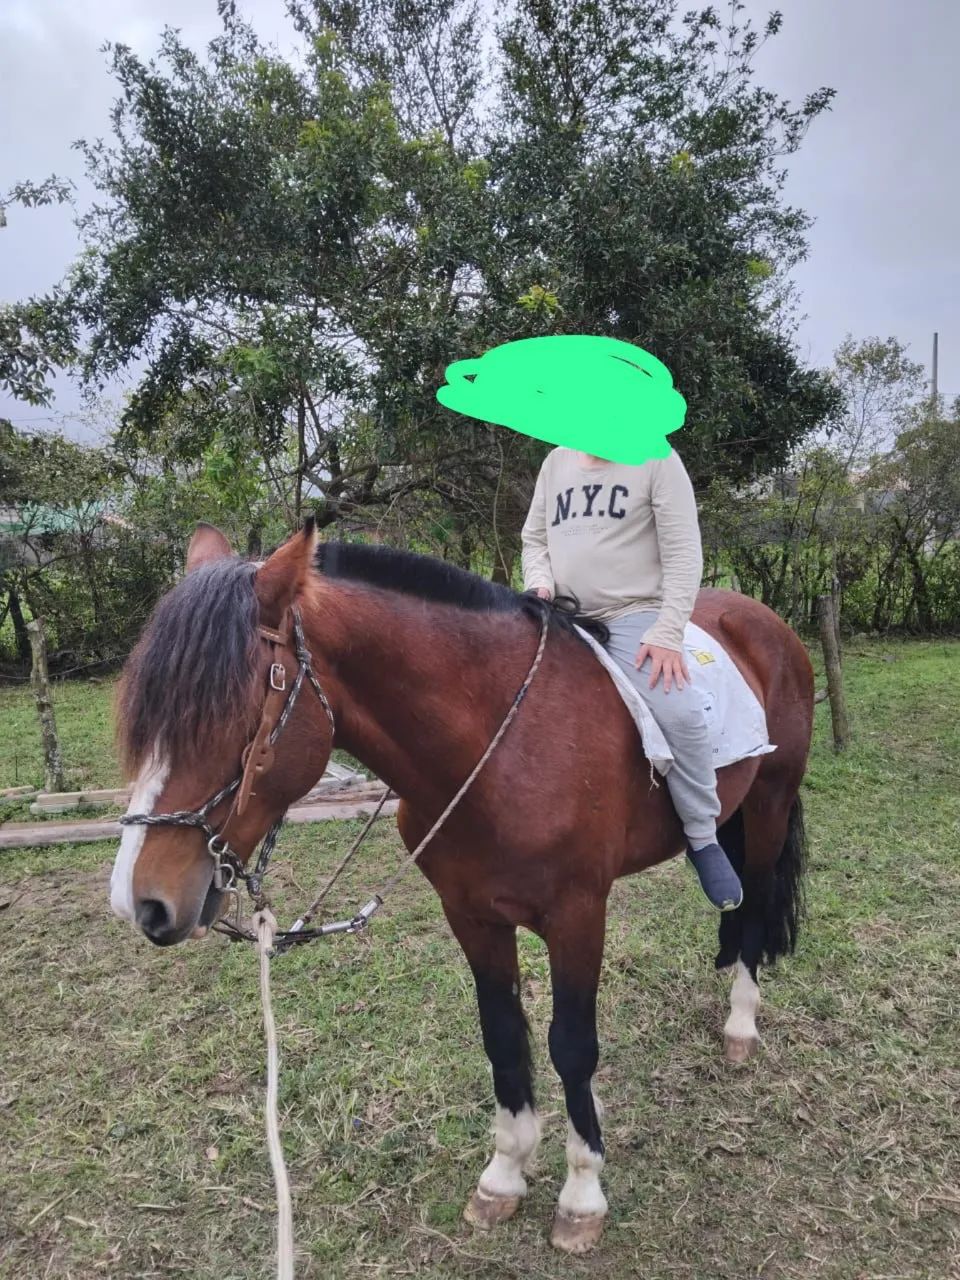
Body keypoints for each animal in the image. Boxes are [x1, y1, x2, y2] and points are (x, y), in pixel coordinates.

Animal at [110, 520, 814, 1254]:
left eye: (228, 716)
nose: (141, 901)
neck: (500, 746)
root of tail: (761, 619)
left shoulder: (578, 916)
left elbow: (572, 1046)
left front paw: (582, 1194)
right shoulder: (471, 916)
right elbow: (502, 1036)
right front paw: (504, 1177)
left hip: (769, 805)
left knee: (756, 907)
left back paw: (741, 1021)